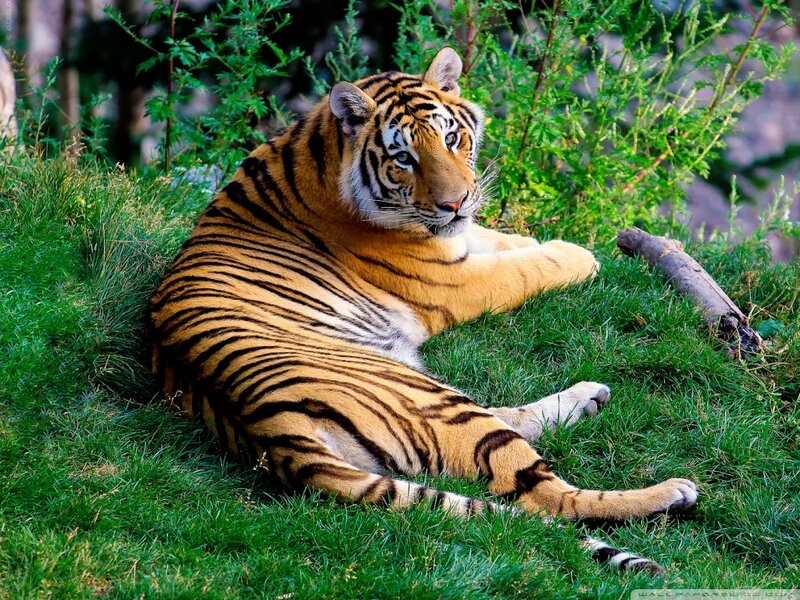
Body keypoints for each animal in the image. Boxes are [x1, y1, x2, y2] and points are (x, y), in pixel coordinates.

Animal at [147, 47, 698, 575]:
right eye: (404, 158)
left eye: (452, 138)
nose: (455, 203)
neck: (319, 151)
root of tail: (270, 433)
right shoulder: (453, 280)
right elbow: (524, 268)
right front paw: (579, 255)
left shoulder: (458, 241)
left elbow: (500, 240)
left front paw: (534, 239)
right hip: (431, 398)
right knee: (547, 496)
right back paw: (670, 491)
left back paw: (589, 398)